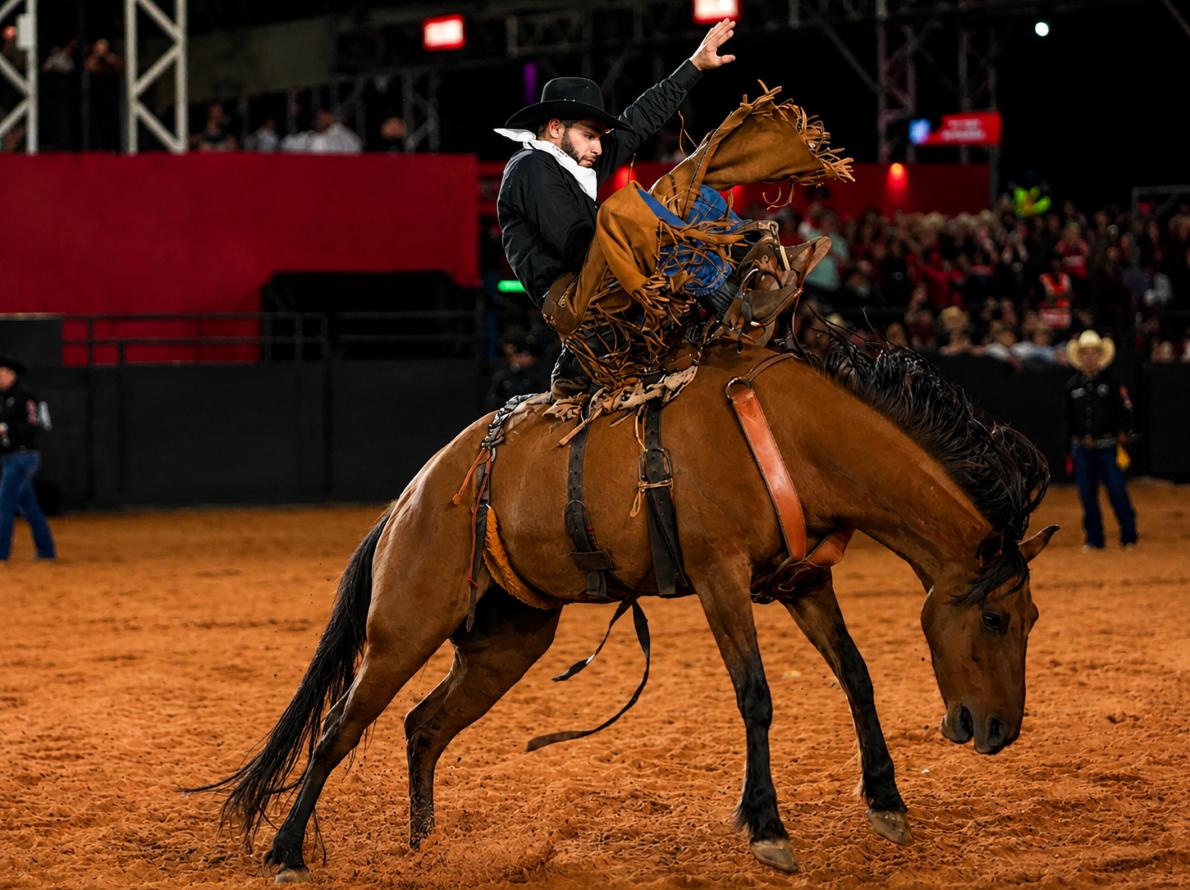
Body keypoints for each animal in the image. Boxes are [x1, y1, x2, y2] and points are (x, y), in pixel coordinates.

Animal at [192, 335, 1055, 882]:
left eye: (1031, 620)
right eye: (997, 618)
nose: (999, 731)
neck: (788, 433)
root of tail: (412, 494)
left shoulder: (804, 583)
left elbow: (857, 676)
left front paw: (886, 802)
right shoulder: (719, 576)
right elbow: (756, 696)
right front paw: (767, 829)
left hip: (506, 643)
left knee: (422, 727)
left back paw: (427, 848)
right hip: (404, 627)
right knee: (341, 728)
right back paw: (287, 855)